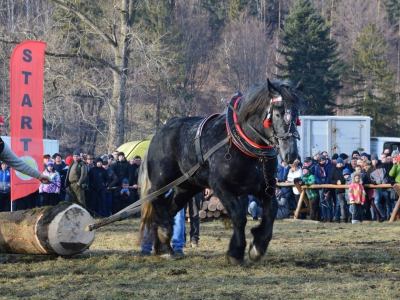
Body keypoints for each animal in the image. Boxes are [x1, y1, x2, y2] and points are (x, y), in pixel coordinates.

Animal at [139, 79, 302, 264]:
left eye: (296, 114)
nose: (290, 153)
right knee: (154, 196)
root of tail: (159, 132)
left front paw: (258, 246)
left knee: (170, 207)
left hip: (186, 187)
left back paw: (163, 247)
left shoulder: (264, 187)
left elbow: (271, 211)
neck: (243, 143)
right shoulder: (221, 187)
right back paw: (164, 231)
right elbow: (239, 216)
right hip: (163, 178)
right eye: (278, 114)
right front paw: (236, 252)